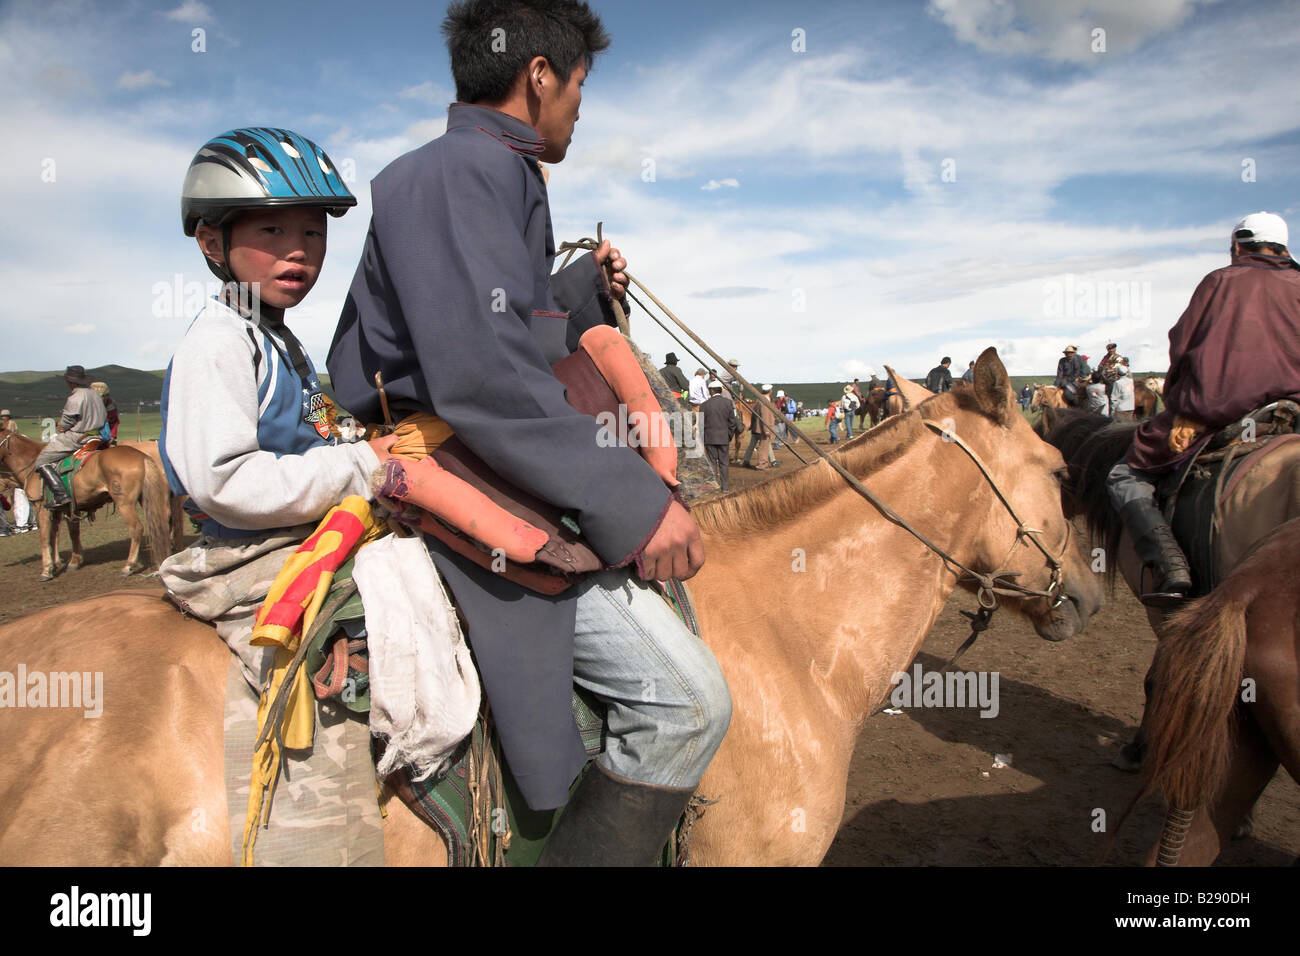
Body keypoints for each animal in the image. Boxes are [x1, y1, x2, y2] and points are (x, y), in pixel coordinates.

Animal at [0, 429, 171, 580]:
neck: (31, 463)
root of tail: (142, 456)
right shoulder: (61, 509)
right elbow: (62, 534)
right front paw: (66, 562)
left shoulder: (41, 508)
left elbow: (45, 537)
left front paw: (47, 570)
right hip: (146, 498)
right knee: (162, 522)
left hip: (125, 503)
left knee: (136, 528)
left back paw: (128, 566)